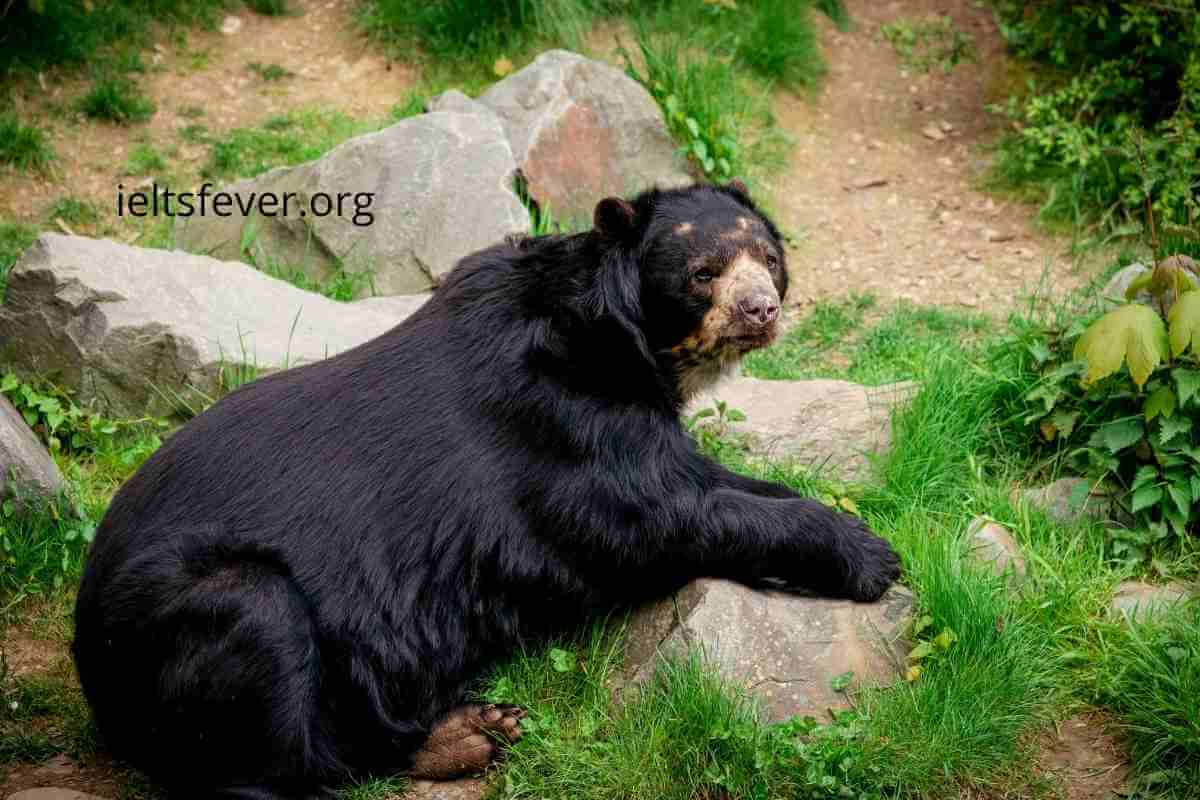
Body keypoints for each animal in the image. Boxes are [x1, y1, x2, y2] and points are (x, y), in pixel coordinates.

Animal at [72, 181, 901, 799]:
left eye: (768, 256)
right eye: (703, 273)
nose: (762, 309)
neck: (619, 342)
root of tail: (89, 663)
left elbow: (712, 480)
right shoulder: (556, 422)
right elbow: (656, 517)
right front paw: (872, 556)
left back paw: (469, 732)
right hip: (199, 618)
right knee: (262, 702)